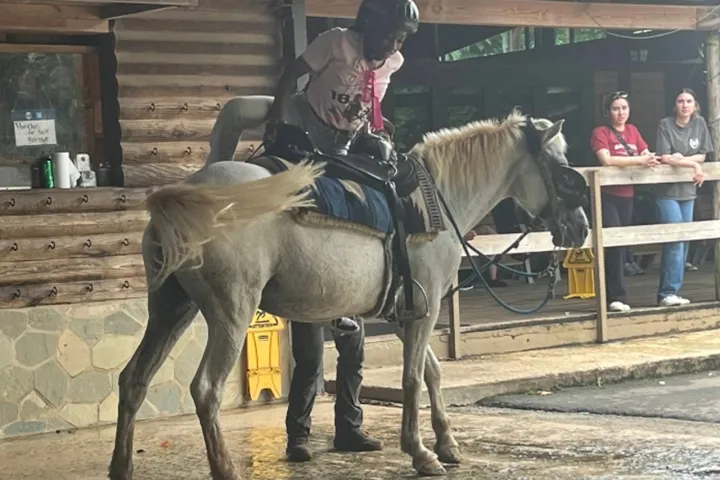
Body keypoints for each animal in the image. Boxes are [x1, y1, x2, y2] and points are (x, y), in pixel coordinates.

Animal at [108, 108, 589, 480]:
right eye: (564, 171)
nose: (581, 229)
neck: (437, 199)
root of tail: (191, 191)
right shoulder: (426, 308)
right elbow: (412, 378)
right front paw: (422, 454)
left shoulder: (406, 311)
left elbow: (431, 373)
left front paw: (448, 444)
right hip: (231, 312)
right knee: (206, 389)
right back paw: (224, 468)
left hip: (171, 307)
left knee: (133, 380)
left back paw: (121, 467)